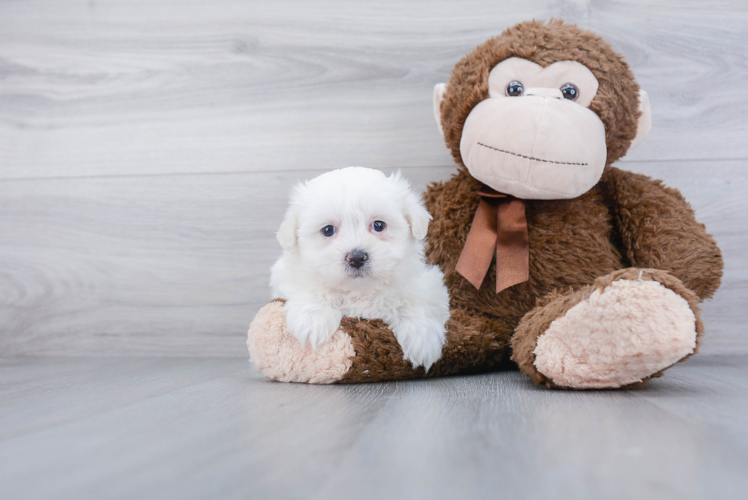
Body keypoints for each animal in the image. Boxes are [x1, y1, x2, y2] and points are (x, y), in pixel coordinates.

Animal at [270, 166, 450, 370]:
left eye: (378, 225)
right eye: (327, 230)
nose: (356, 257)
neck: (359, 290)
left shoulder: (427, 283)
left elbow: (417, 301)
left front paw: (422, 338)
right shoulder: (285, 275)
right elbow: (311, 288)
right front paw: (311, 320)